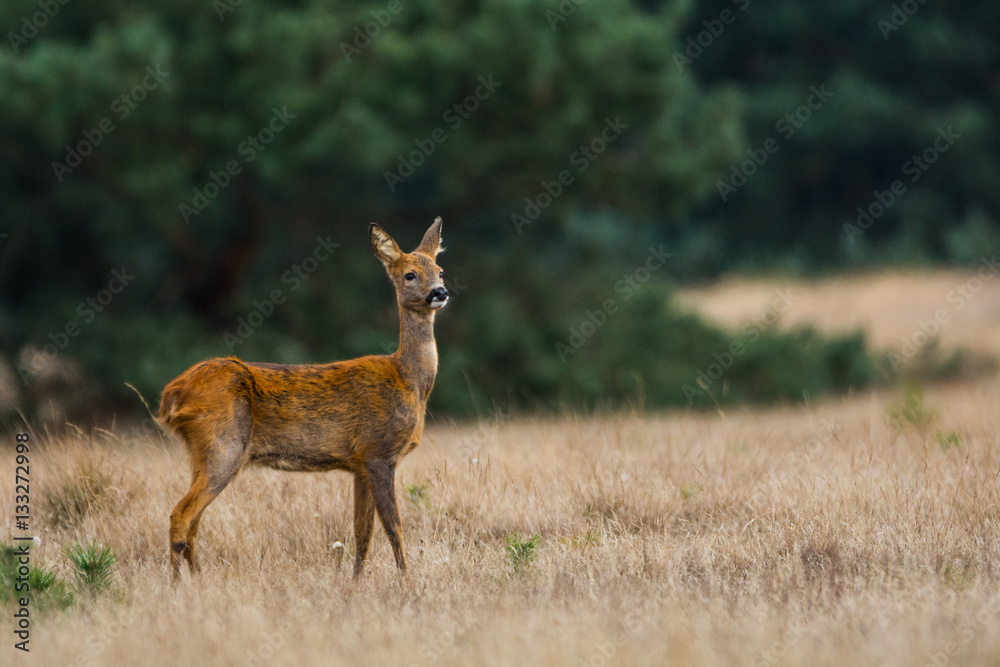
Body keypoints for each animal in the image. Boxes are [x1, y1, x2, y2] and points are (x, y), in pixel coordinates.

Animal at [159, 218, 450, 580]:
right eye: (410, 274)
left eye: (440, 270)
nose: (440, 292)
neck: (409, 380)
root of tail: (172, 393)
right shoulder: (379, 451)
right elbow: (393, 527)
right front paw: (406, 582)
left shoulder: (359, 462)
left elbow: (362, 532)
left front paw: (355, 583)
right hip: (224, 445)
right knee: (180, 515)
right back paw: (176, 584)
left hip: (200, 452)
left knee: (194, 524)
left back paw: (198, 580)